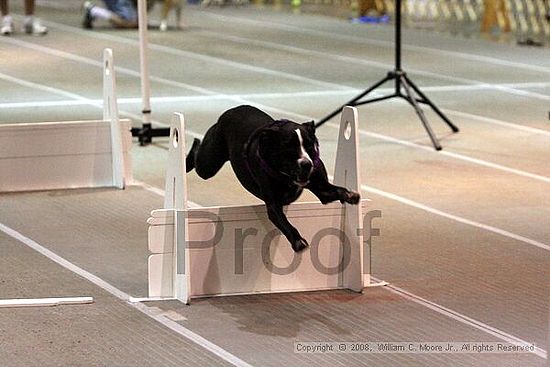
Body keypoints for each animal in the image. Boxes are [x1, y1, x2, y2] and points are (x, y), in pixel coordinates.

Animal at [189, 105, 362, 252]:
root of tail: (231, 110)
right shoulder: (273, 204)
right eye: (289, 147)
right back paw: (192, 146)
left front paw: (351, 195)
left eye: (310, 145)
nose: (307, 164)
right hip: (208, 163)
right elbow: (283, 222)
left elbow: (337, 190)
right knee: (198, 158)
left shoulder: (322, 190)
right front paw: (298, 241)